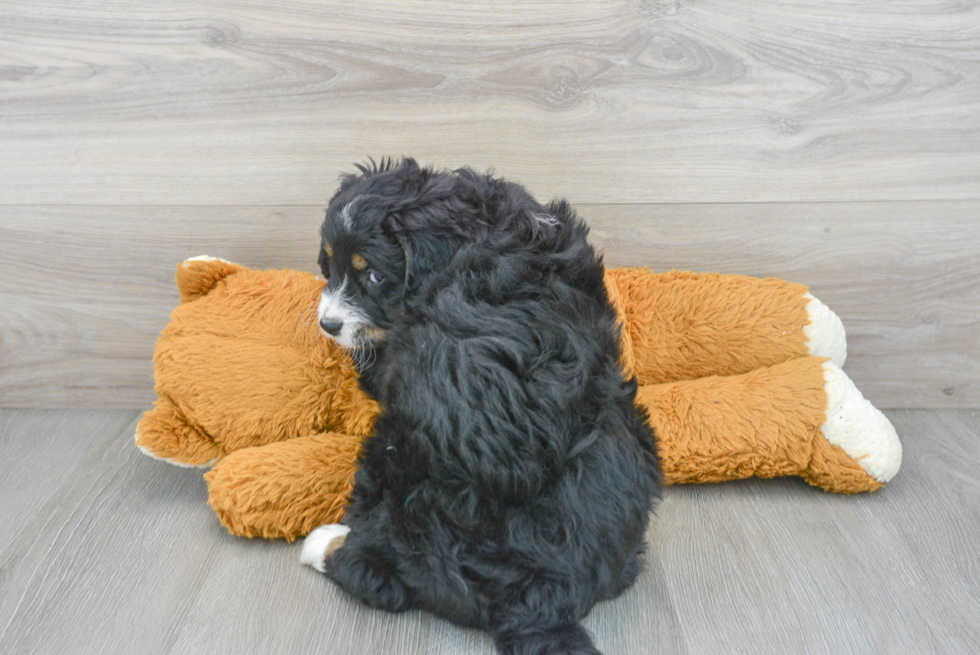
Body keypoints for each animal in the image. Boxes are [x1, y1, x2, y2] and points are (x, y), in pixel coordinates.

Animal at [302, 159, 664, 655]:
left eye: (374, 276)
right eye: (330, 265)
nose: (328, 324)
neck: (487, 230)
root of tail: (541, 602)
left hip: (391, 452)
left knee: (390, 580)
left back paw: (325, 543)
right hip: (633, 432)